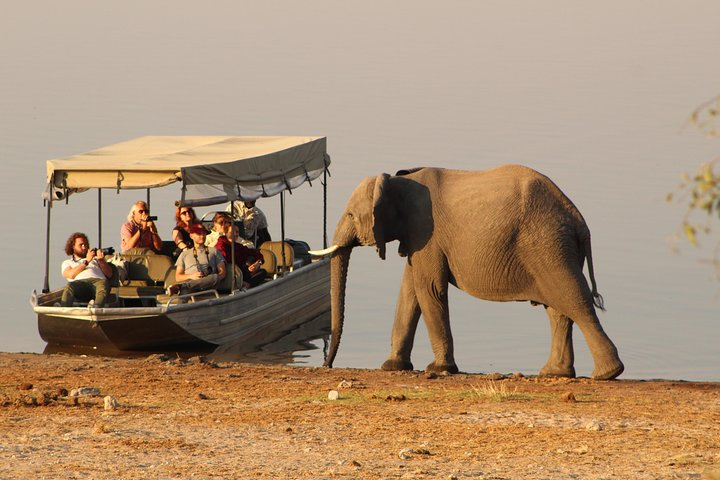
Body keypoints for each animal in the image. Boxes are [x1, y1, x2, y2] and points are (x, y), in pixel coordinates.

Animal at [312, 163, 628, 380]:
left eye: (351, 215)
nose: (326, 365)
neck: (397, 180)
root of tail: (578, 219)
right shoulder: (417, 238)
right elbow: (410, 292)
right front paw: (392, 367)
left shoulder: (426, 231)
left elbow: (428, 289)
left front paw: (439, 369)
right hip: (553, 246)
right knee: (558, 308)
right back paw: (555, 373)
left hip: (547, 243)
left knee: (573, 299)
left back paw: (607, 374)